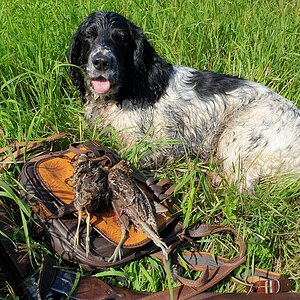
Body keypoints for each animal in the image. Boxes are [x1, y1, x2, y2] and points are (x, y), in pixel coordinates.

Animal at [68, 11, 300, 192]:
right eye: (89, 36)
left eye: (121, 39)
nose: (101, 61)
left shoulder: (154, 146)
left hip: (238, 134)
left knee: (242, 187)